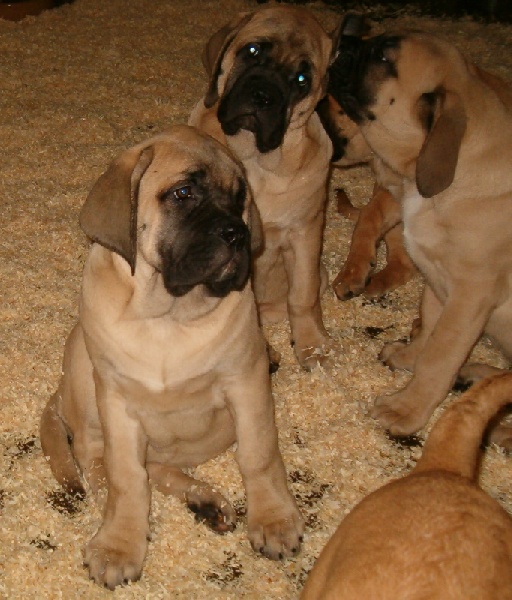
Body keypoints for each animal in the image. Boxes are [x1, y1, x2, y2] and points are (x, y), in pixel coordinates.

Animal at [42, 124, 304, 588]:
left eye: (240, 197)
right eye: (183, 193)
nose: (238, 234)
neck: (168, 317)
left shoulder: (246, 380)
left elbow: (259, 453)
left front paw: (274, 520)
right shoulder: (117, 401)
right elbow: (126, 478)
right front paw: (119, 544)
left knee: (157, 468)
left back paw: (205, 500)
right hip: (81, 368)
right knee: (98, 463)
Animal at [190, 5, 334, 370]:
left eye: (302, 80)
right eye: (252, 51)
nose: (263, 97)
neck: (255, 161)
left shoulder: (304, 232)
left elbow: (303, 294)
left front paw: (312, 345)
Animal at [326, 27, 512, 432]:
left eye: (383, 58)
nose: (344, 35)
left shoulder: (469, 296)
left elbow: (440, 354)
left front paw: (406, 409)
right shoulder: (435, 275)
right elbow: (429, 329)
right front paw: (408, 356)